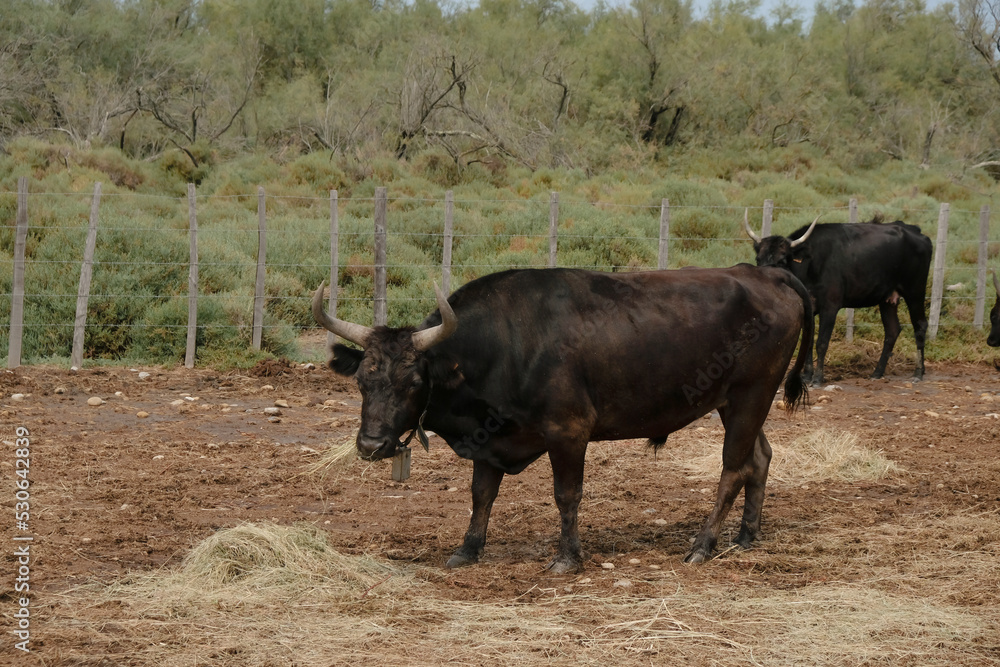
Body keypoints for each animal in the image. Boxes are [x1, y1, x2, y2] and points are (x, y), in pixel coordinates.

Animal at [312, 266, 812, 576]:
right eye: (362, 379)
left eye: (414, 381)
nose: (371, 445)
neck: (503, 345)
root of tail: (762, 272)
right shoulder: (489, 439)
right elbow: (481, 495)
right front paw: (467, 550)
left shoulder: (568, 432)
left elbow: (566, 495)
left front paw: (567, 558)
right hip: (737, 404)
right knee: (760, 458)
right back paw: (746, 536)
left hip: (750, 396)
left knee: (733, 468)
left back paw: (703, 546)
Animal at [740, 215, 932, 386]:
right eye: (758, 258)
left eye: (781, 260)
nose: (763, 281)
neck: (811, 262)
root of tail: (915, 230)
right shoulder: (809, 307)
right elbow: (809, 341)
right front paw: (806, 376)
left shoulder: (830, 307)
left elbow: (821, 342)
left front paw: (818, 378)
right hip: (887, 297)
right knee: (892, 330)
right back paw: (877, 373)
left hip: (915, 291)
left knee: (920, 326)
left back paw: (918, 373)